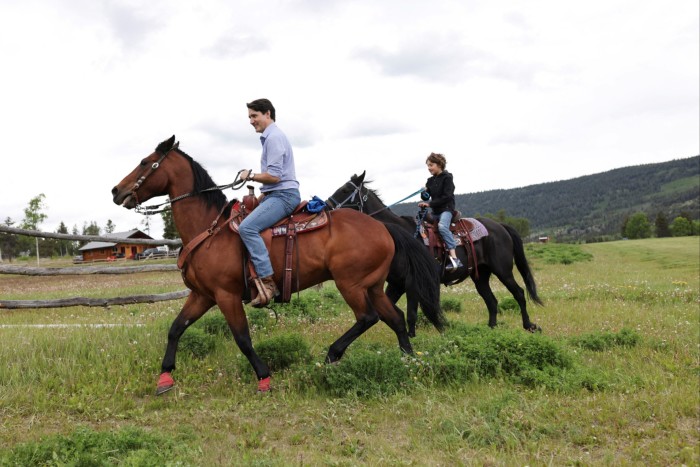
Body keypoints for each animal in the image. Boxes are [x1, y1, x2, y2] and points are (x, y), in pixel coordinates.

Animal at [113, 136, 446, 394]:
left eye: (145, 162)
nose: (116, 191)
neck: (209, 228)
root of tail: (383, 227)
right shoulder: (203, 295)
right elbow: (176, 329)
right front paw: (165, 377)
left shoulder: (225, 295)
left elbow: (243, 339)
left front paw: (264, 377)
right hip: (373, 285)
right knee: (396, 319)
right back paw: (409, 363)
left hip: (350, 284)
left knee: (368, 317)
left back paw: (331, 355)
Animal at [326, 173, 544, 336]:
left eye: (345, 190)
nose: (325, 206)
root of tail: (500, 226)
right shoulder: (397, 284)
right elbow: (389, 311)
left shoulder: (413, 283)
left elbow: (411, 314)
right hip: (480, 276)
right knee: (491, 301)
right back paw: (491, 330)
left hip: (503, 270)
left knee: (519, 293)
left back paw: (529, 326)